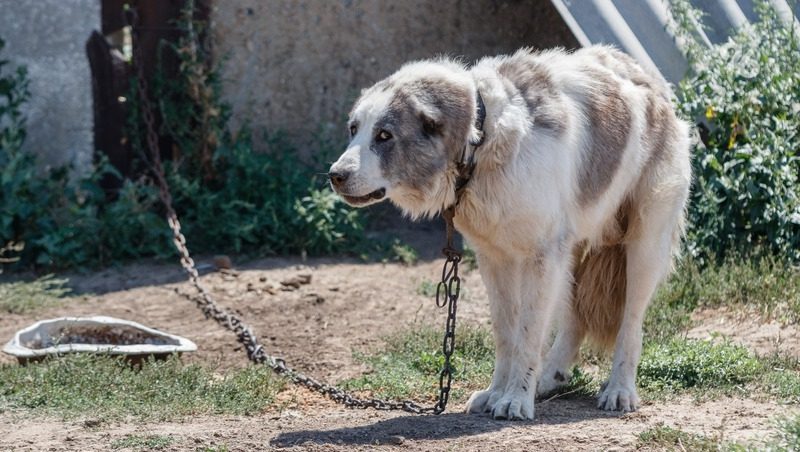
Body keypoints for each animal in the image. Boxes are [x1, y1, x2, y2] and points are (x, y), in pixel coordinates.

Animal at [328, 46, 692, 420]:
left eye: (384, 136)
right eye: (354, 129)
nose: (335, 175)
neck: (482, 139)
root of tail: (649, 80)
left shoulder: (541, 258)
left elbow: (529, 335)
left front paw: (516, 399)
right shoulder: (495, 259)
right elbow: (506, 333)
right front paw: (496, 393)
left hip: (643, 247)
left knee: (631, 323)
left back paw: (620, 390)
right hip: (571, 254)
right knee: (574, 317)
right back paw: (550, 377)